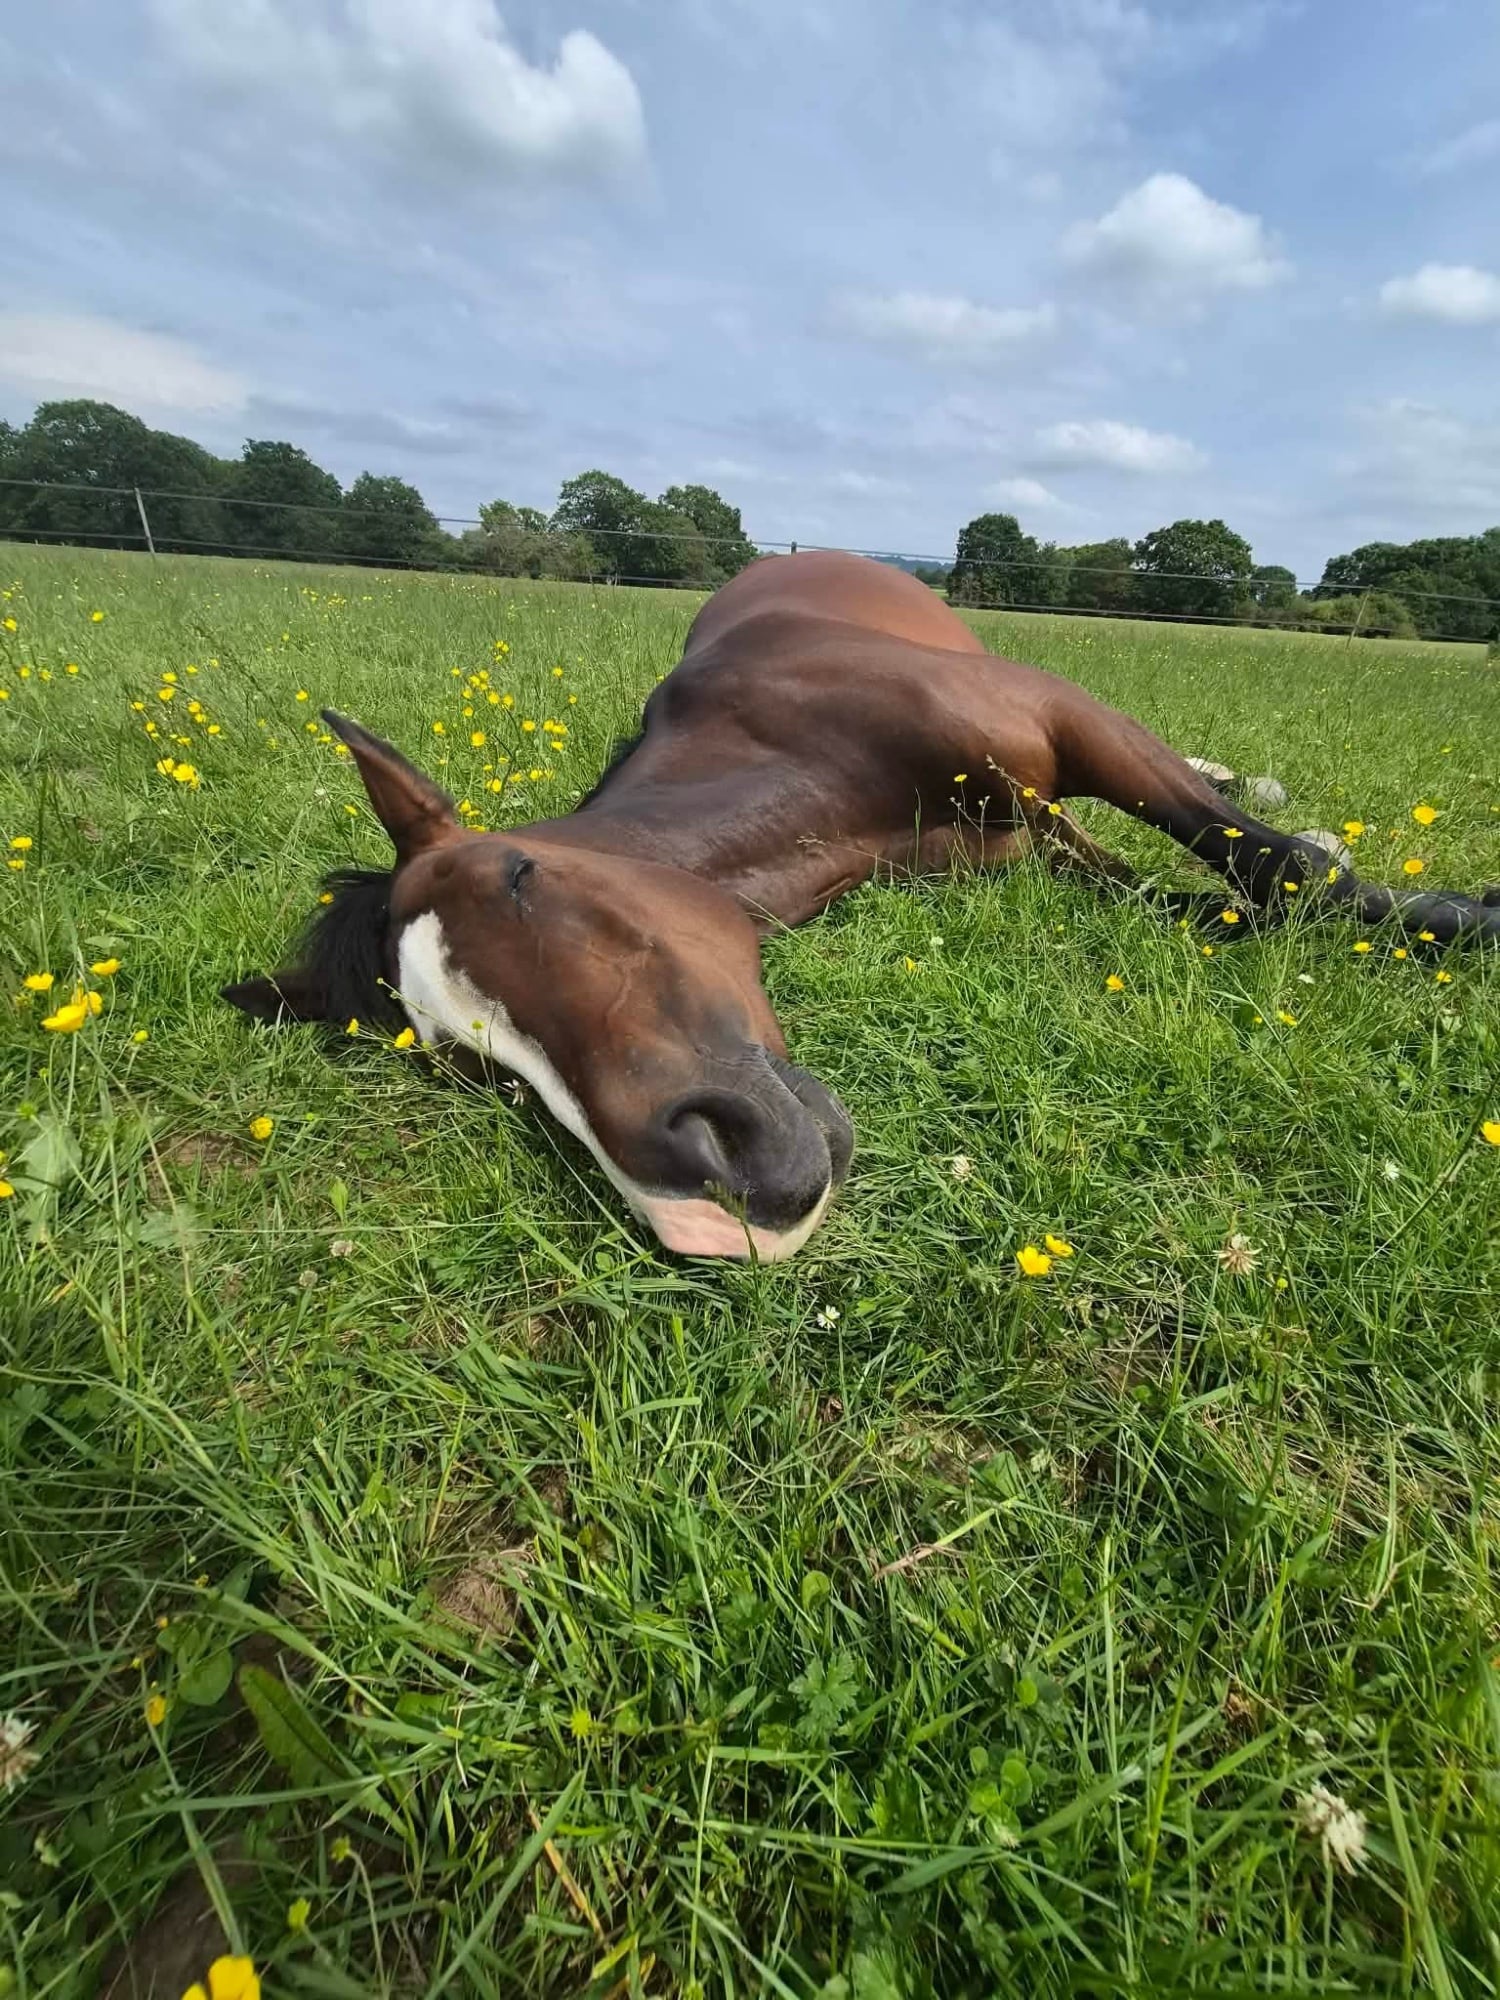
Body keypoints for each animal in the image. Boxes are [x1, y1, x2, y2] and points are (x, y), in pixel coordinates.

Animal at [224, 550, 1500, 1260]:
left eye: (522, 877)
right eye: (468, 1064)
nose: (710, 1200)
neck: (798, 733)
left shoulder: (1068, 726)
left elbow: (1277, 873)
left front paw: (1465, 914)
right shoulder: (1030, 856)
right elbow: (1222, 905)